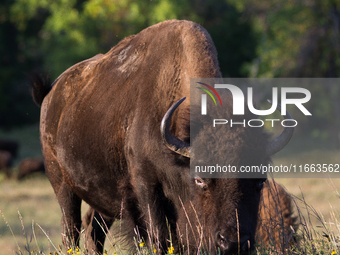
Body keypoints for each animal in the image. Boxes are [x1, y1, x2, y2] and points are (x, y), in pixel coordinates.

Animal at [30, 20, 294, 255]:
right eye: (200, 179)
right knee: (71, 228)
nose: (232, 243)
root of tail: (52, 93)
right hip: (61, 183)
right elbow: (160, 238)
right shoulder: (147, 188)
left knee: (93, 227)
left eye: (260, 181)